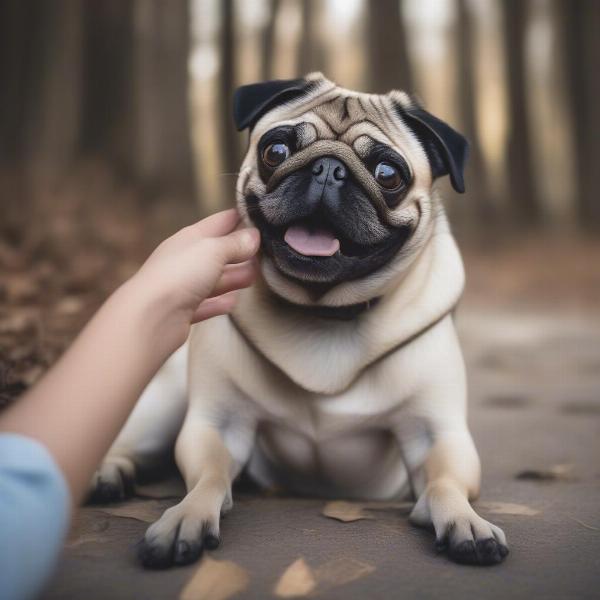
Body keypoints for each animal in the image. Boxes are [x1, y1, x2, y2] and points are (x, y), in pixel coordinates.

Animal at [91, 75, 508, 568]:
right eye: (276, 151)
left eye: (388, 175)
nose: (328, 169)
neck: (322, 309)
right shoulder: (218, 423)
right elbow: (208, 477)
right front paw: (185, 515)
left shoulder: (436, 434)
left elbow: (445, 483)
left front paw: (465, 520)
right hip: (164, 404)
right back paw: (107, 472)